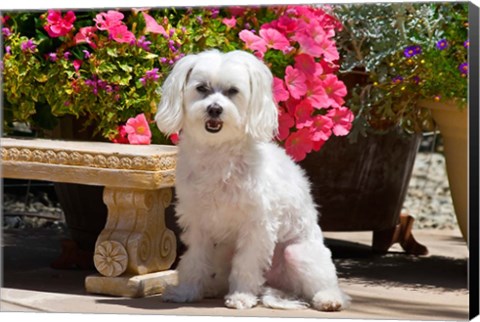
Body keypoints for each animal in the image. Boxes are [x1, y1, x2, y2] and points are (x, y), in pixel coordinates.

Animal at [157, 49, 348, 310]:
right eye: (202, 88)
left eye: (233, 91)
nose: (214, 109)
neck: (218, 151)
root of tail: (279, 286)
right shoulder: (198, 222)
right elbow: (194, 259)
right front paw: (186, 291)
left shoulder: (257, 225)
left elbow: (246, 263)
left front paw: (241, 296)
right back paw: (213, 288)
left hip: (298, 253)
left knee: (326, 284)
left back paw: (328, 299)